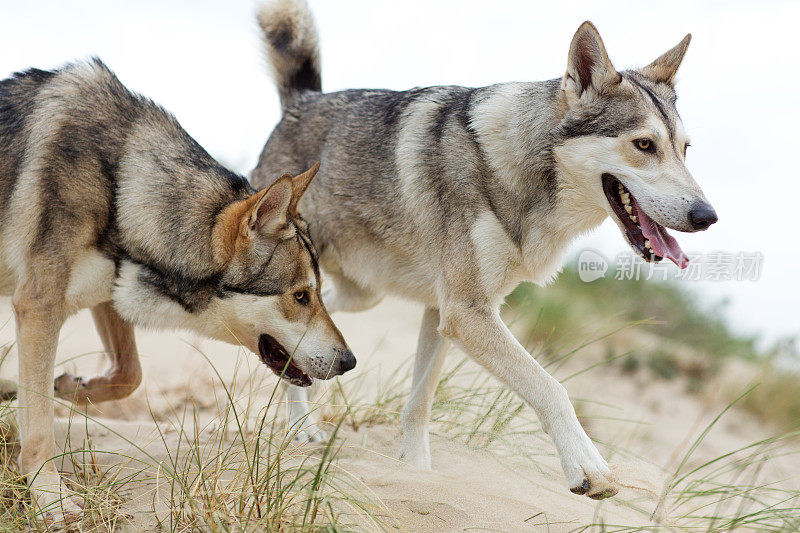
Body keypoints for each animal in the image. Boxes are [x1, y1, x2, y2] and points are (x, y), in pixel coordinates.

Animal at [0, 58, 356, 516]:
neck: (125, 186)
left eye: (317, 292)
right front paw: (50, 497)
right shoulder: (38, 306)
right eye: (300, 296)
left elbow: (128, 375)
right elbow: (41, 425)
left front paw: (72, 389)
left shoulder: (110, 291)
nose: (349, 362)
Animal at [252, 0, 720, 498]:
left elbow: (420, 403)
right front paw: (589, 467)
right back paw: (300, 427)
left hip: (363, 293)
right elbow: (551, 387)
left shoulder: (444, 312)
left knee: (316, 319)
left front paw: (415, 474)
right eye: (644, 145)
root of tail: (302, 100)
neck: (523, 171)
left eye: (685, 150)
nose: (707, 216)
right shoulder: (468, 313)